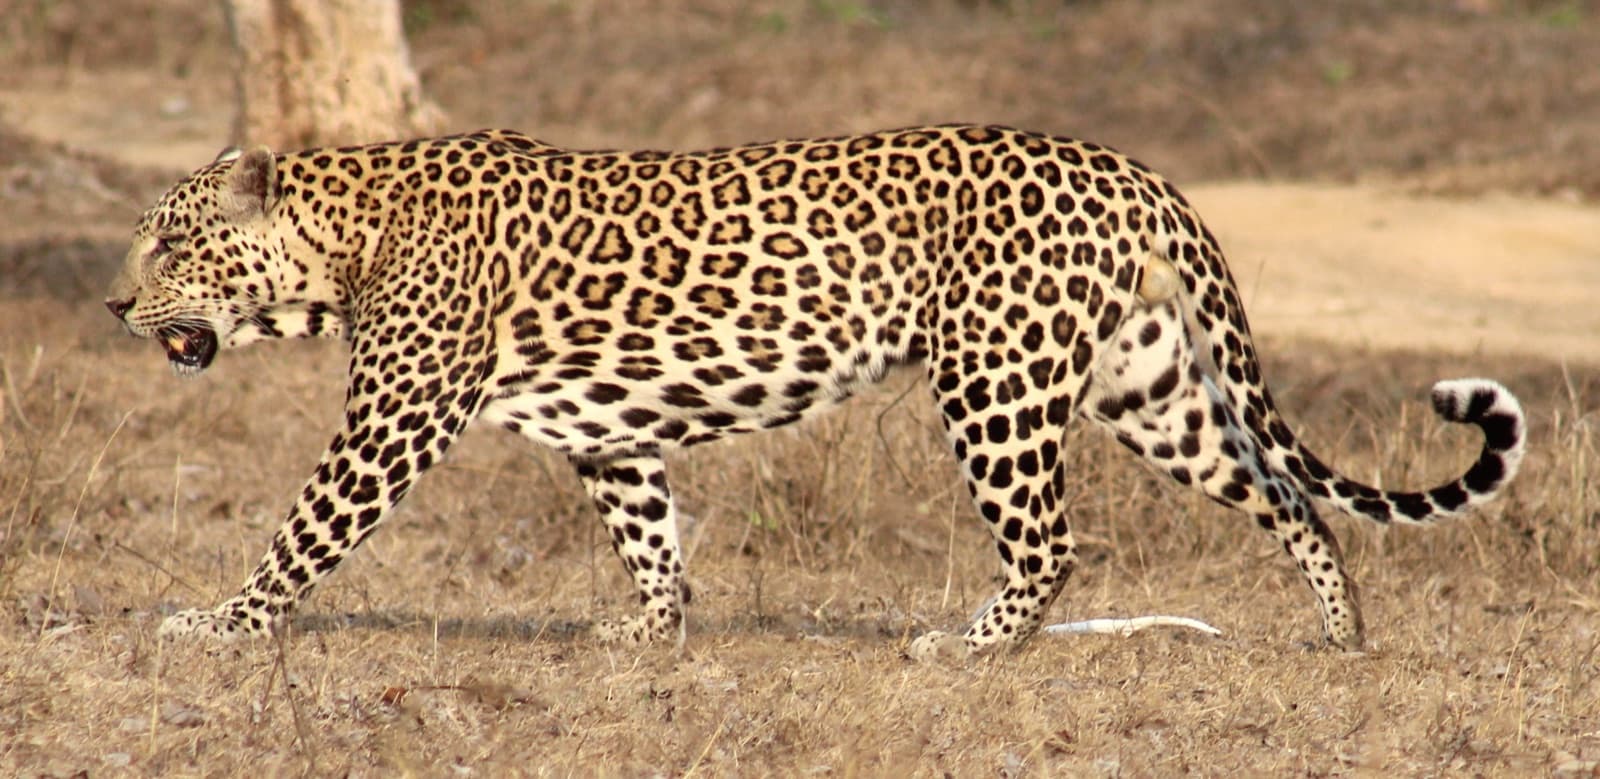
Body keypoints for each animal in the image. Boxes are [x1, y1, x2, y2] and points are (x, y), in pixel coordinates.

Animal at [105, 124, 1527, 658]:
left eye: (168, 242)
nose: (115, 305)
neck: (343, 238)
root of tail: (1131, 169)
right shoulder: (609, 431)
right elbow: (649, 534)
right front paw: (652, 630)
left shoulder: (393, 419)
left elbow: (302, 531)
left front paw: (216, 621)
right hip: (1151, 385)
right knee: (1293, 497)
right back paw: (1340, 630)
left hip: (995, 381)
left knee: (1055, 539)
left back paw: (970, 644)